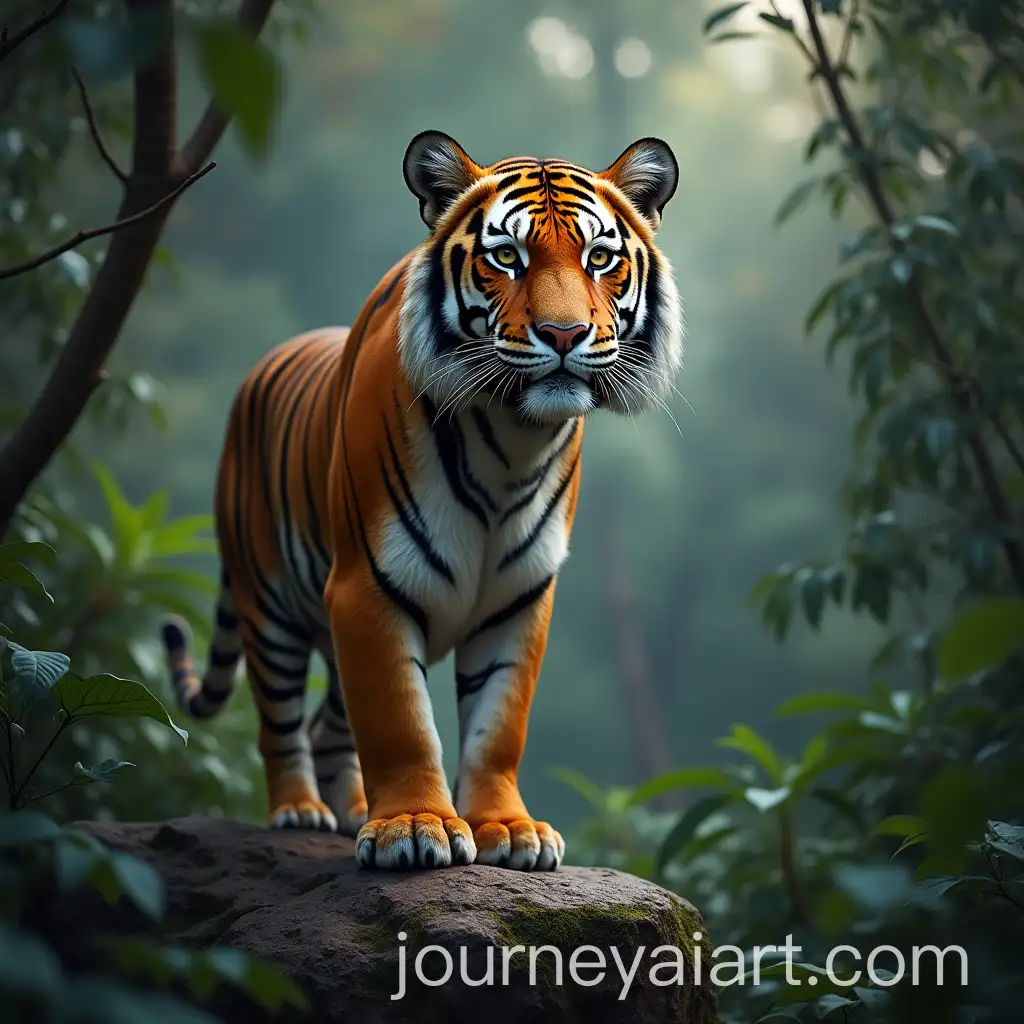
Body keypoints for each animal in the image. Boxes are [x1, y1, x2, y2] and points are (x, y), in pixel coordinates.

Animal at [160, 131, 684, 871]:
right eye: (506, 256)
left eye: (600, 258)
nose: (563, 334)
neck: (513, 443)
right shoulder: (366, 588)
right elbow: (401, 723)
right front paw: (413, 827)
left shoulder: (520, 601)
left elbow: (498, 726)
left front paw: (509, 830)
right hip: (269, 606)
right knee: (281, 723)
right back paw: (299, 810)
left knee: (327, 726)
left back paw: (351, 809)